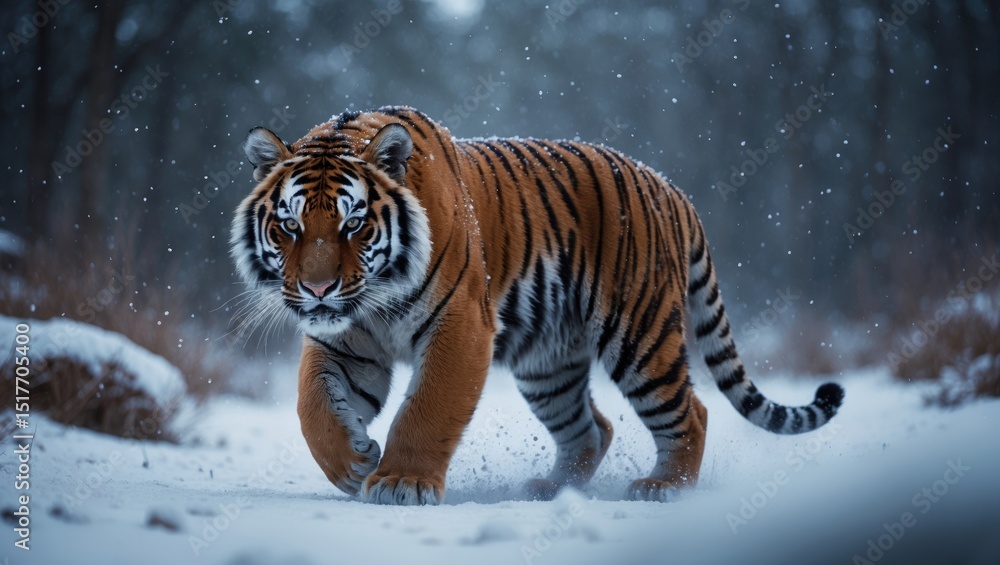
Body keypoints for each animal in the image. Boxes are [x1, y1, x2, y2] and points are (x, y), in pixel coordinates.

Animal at [230, 105, 844, 505]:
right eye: (290, 226)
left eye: (353, 224)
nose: (318, 290)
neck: (373, 301)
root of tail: (670, 188)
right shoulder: (345, 342)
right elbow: (312, 406)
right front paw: (352, 462)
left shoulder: (461, 326)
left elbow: (428, 407)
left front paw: (402, 482)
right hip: (547, 362)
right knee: (592, 429)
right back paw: (550, 490)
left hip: (640, 336)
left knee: (691, 410)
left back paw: (663, 488)